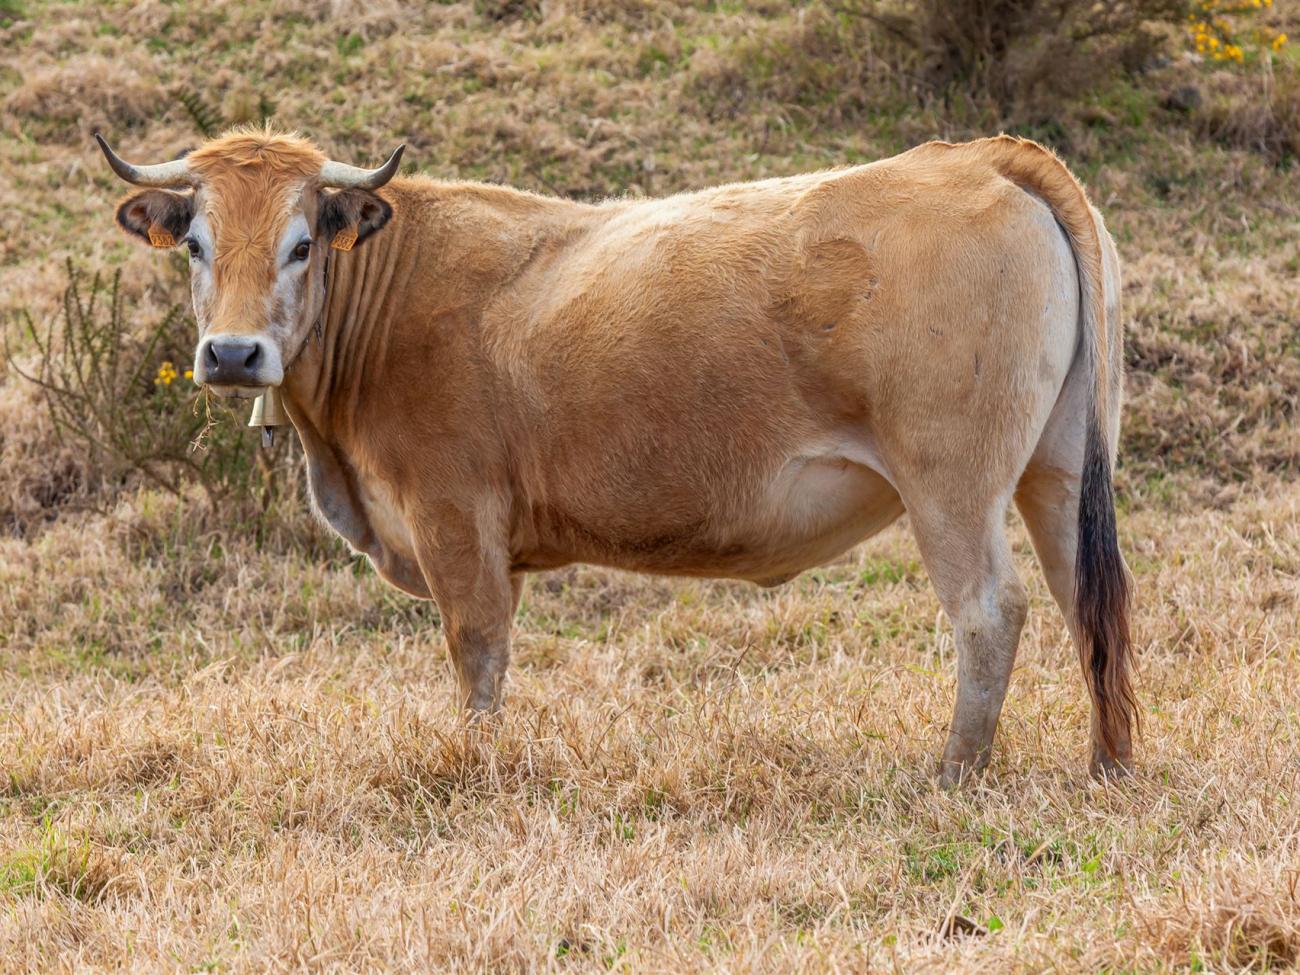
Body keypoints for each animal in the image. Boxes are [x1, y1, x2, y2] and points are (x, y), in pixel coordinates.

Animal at [96, 126, 1136, 785]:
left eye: (303, 244)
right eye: (195, 243)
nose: (234, 354)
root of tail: (980, 155)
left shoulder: (454, 515)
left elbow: (477, 651)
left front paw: (476, 767)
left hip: (950, 484)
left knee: (990, 612)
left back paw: (955, 772)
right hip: (1057, 470)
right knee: (1087, 597)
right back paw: (1110, 763)